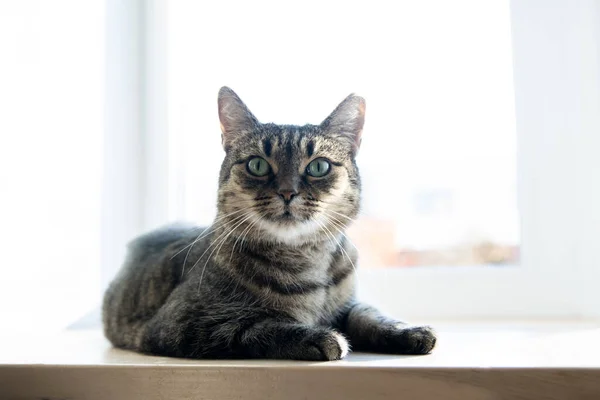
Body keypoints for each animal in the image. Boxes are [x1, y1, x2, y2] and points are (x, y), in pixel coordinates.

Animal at [104, 86, 436, 360]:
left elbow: (368, 314)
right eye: (257, 164)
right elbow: (257, 326)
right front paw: (319, 337)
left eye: (319, 166)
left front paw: (408, 331)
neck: (305, 260)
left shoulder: (349, 303)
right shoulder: (182, 324)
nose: (287, 192)